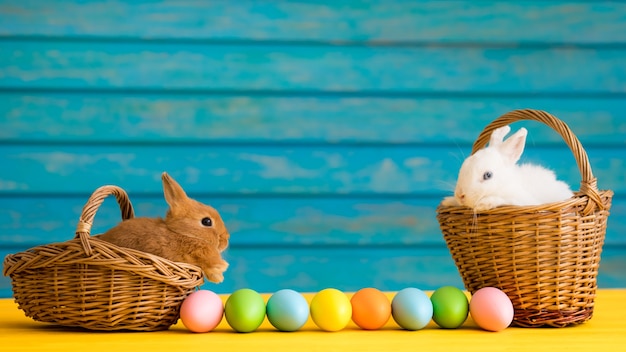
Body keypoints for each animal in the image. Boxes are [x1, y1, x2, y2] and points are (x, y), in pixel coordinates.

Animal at [438, 125, 572, 210]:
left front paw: (483, 205)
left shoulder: (523, 202)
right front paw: (448, 201)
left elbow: (504, 200)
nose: (460, 195)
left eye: (488, 175)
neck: (503, 186)